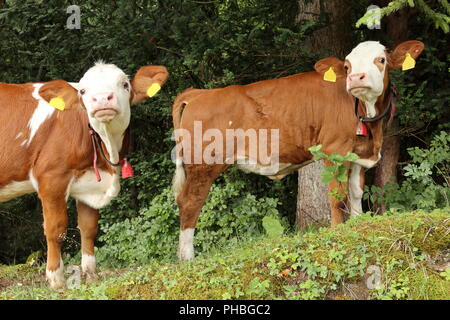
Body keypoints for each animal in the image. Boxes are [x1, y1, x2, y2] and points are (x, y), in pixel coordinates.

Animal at [0, 62, 169, 288]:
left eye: (125, 84)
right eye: (83, 91)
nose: (102, 98)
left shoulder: (90, 184)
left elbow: (89, 228)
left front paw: (90, 274)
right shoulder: (51, 178)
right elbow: (56, 230)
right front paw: (56, 279)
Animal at [171, 40, 424, 260]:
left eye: (381, 59)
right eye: (347, 66)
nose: (355, 78)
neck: (371, 124)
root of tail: (201, 93)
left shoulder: (359, 154)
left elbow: (355, 192)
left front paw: (357, 223)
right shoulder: (334, 150)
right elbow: (337, 196)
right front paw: (337, 231)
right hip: (203, 164)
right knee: (190, 202)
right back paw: (187, 258)